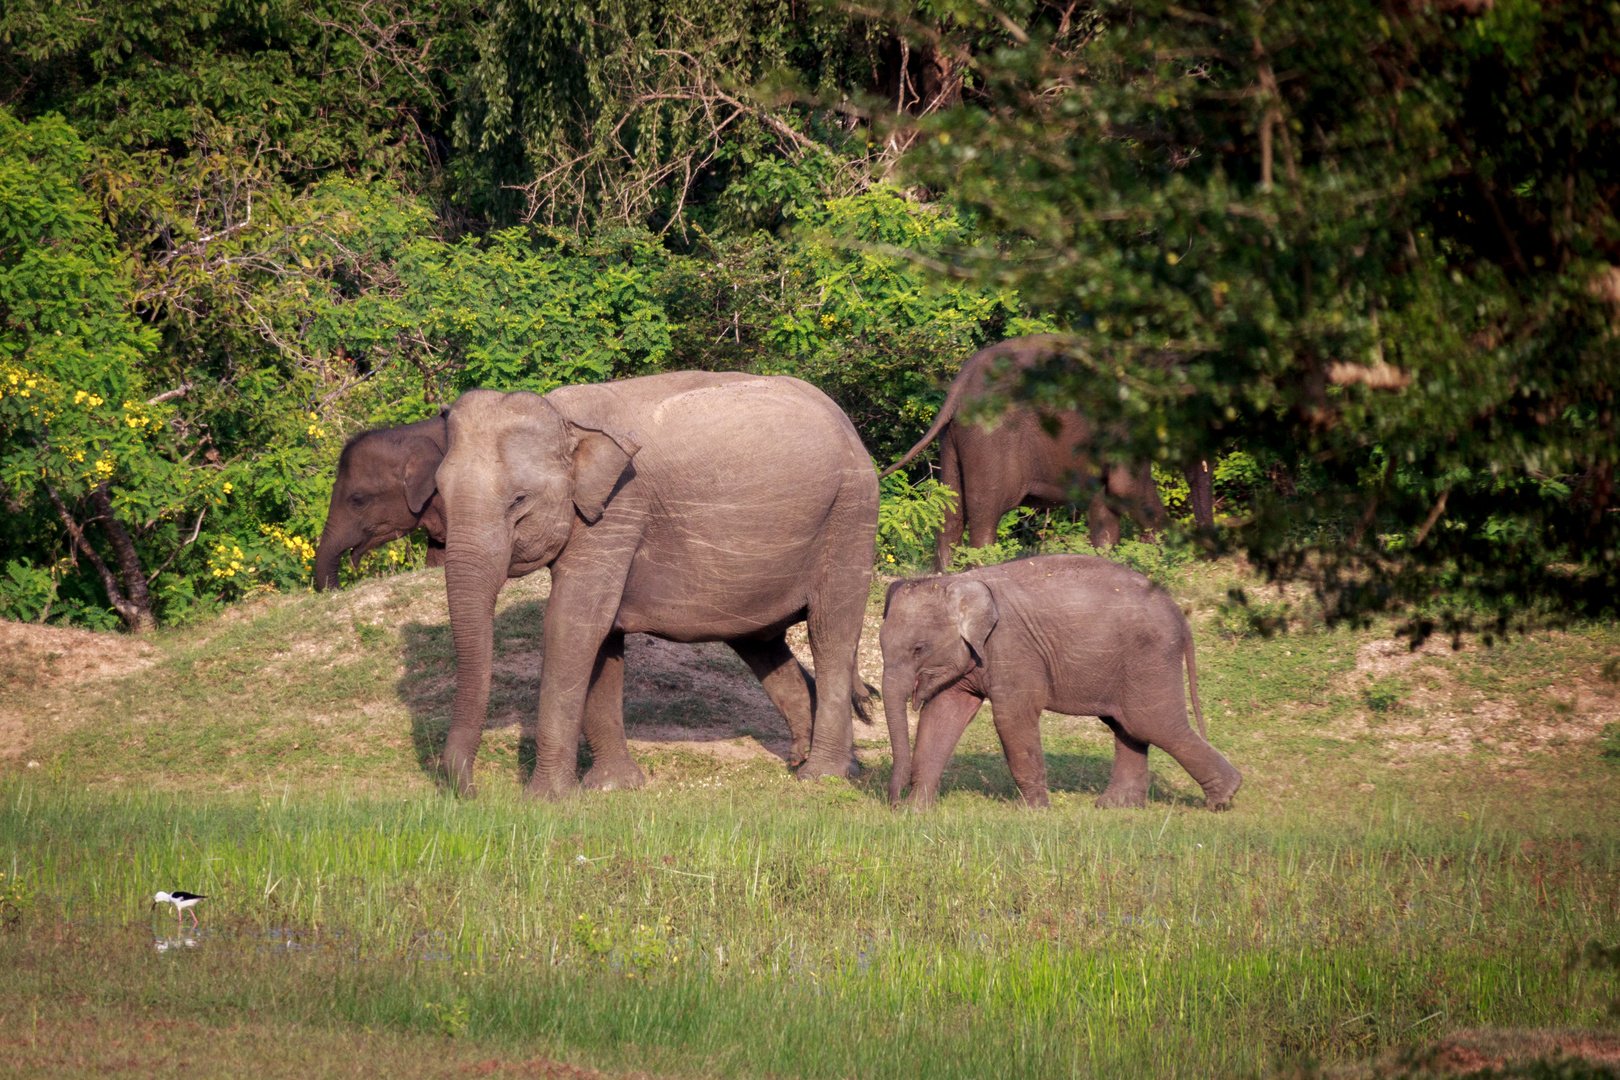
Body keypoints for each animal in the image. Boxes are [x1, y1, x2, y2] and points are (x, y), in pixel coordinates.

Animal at [437, 375, 881, 799]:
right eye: (440, 493)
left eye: (519, 500)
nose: (470, 793)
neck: (564, 416)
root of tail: (847, 426)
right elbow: (601, 633)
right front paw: (614, 787)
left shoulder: (620, 506)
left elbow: (573, 622)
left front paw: (544, 800)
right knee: (762, 643)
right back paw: (821, 763)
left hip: (851, 516)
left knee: (830, 635)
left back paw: (821, 776)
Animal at [874, 557, 1237, 809]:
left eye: (918, 648)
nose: (892, 803)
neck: (957, 581)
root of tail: (1180, 615)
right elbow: (942, 716)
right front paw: (915, 812)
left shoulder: (1011, 647)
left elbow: (1012, 717)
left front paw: (1032, 811)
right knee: (1127, 726)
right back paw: (1115, 807)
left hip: (1150, 658)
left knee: (1152, 723)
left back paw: (1224, 798)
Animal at [881, 335, 1211, 573]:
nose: (1208, 559)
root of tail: (958, 387)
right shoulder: (1123, 426)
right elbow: (1126, 487)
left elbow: (1105, 503)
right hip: (989, 434)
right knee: (986, 511)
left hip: (952, 437)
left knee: (950, 509)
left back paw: (947, 575)